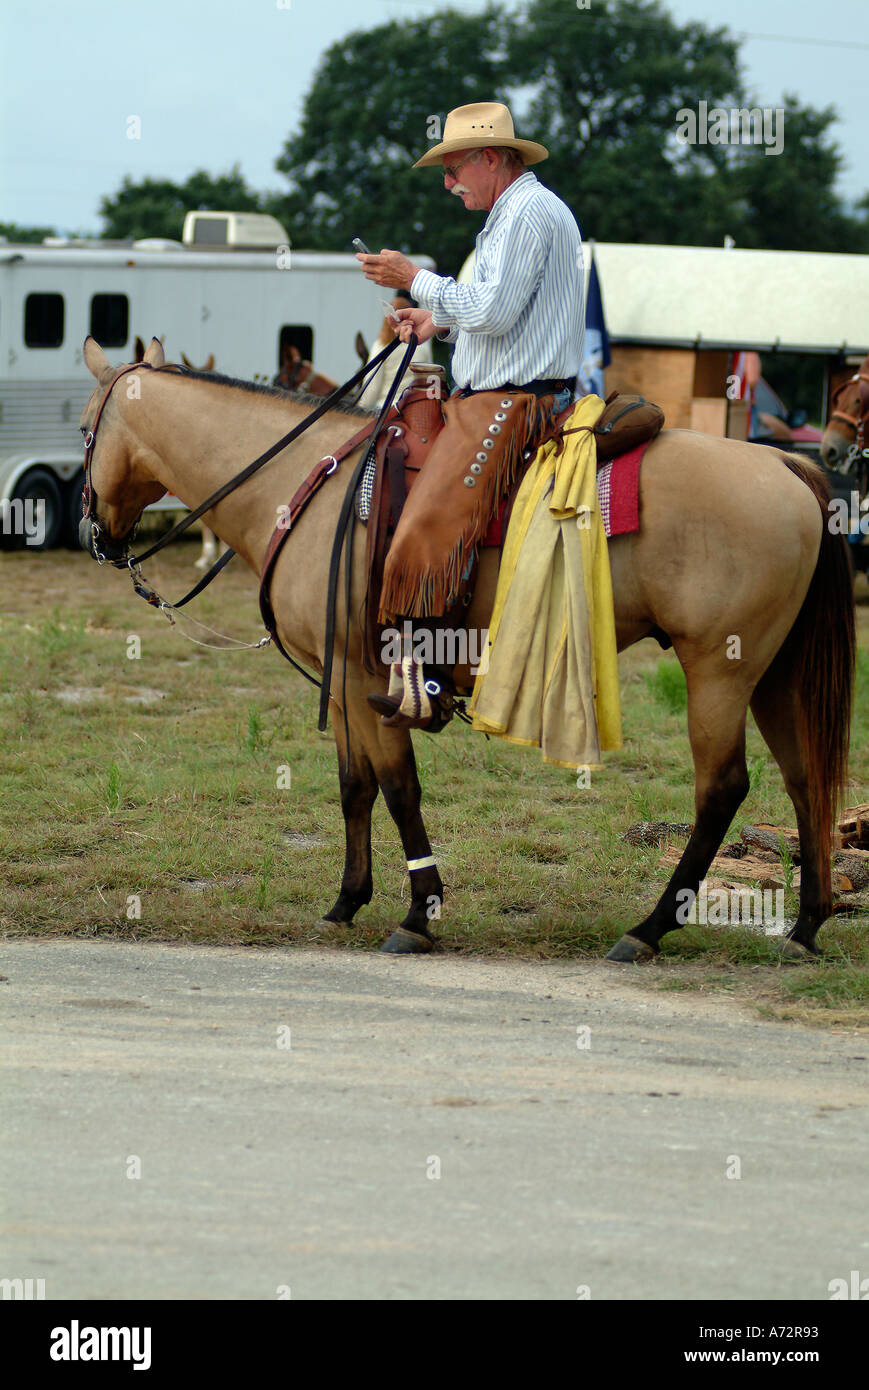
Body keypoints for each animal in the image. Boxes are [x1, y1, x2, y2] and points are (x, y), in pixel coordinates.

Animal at [79, 339, 856, 967]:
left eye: (85, 429)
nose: (97, 536)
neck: (308, 484)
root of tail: (785, 465)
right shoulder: (344, 682)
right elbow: (354, 787)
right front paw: (345, 903)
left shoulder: (366, 677)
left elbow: (398, 788)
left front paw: (418, 915)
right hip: (772, 674)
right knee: (804, 780)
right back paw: (805, 928)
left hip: (718, 670)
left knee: (721, 788)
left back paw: (649, 929)